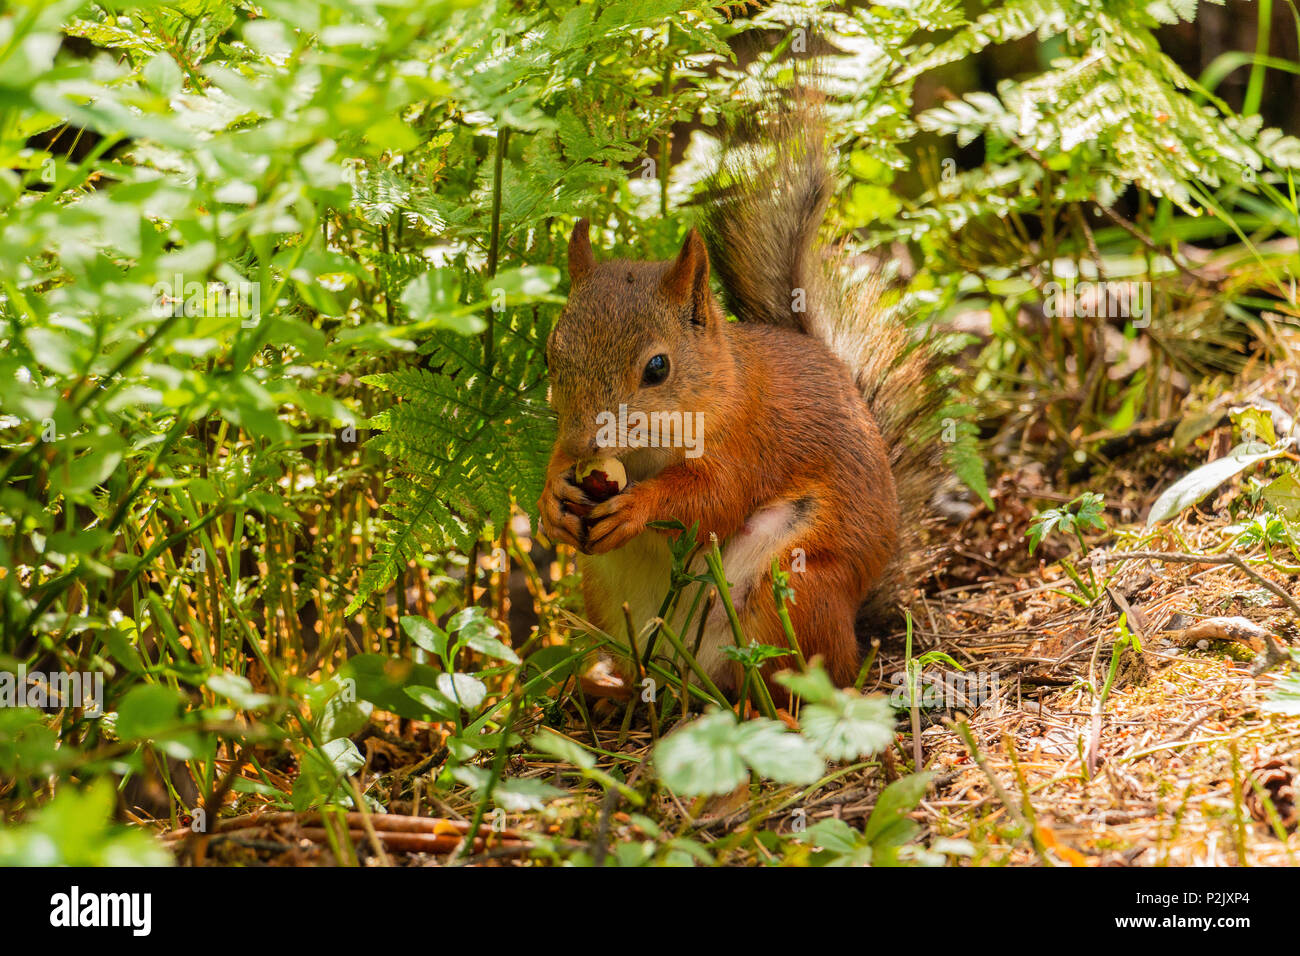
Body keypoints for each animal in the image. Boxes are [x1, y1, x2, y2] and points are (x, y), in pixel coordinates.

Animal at [533, 106, 941, 702]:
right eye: (551, 352)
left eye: (658, 368)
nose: (588, 442)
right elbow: (560, 468)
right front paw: (552, 500)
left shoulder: (748, 441)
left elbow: (713, 501)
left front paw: (638, 507)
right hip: (606, 597)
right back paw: (608, 688)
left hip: (793, 587)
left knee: (804, 681)